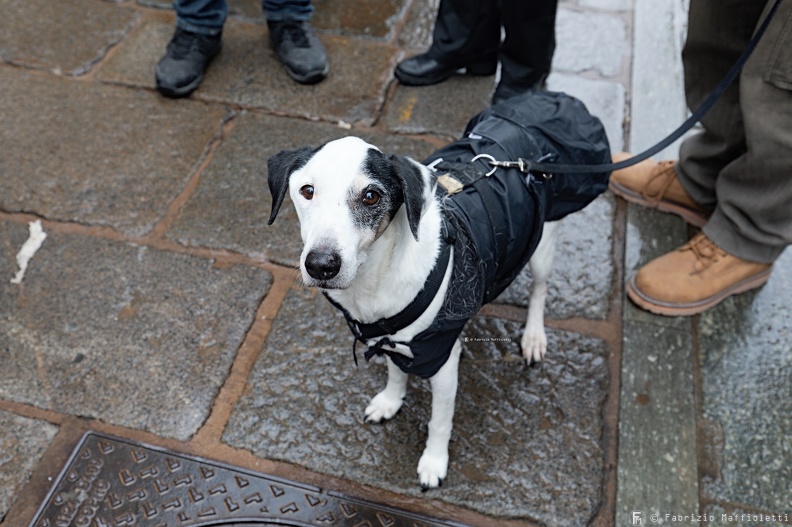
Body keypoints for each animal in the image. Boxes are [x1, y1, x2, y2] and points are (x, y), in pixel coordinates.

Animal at [270, 91, 608, 490]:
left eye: (371, 197)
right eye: (307, 191)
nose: (321, 265)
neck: (375, 282)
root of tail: (551, 97)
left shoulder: (443, 361)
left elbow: (439, 422)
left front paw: (433, 462)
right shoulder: (391, 338)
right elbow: (396, 373)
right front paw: (391, 401)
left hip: (541, 242)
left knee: (540, 290)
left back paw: (533, 337)